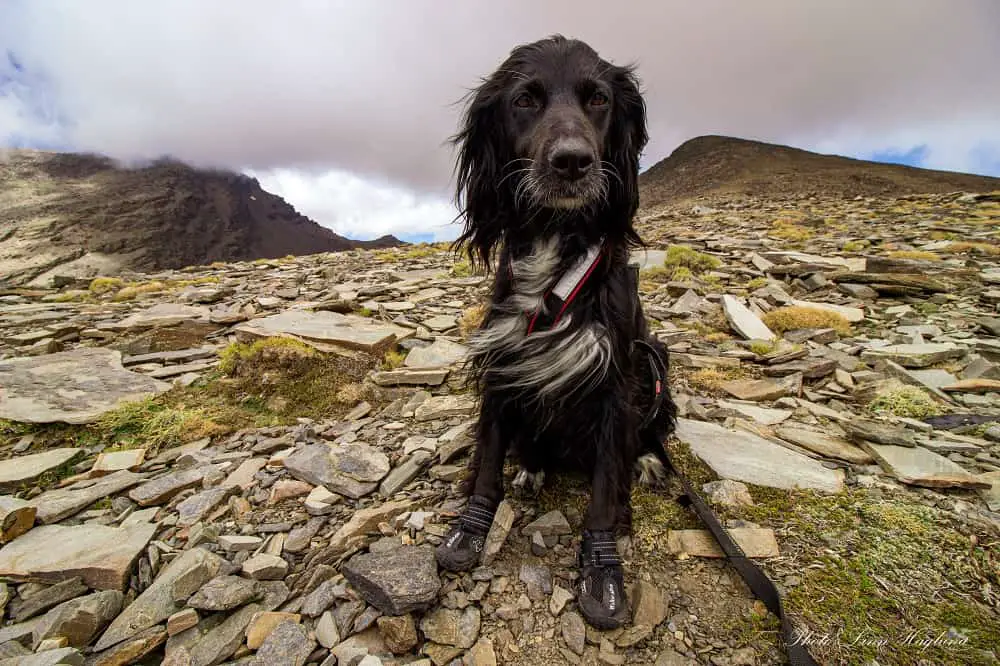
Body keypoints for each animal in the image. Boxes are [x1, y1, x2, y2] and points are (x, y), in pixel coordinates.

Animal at [438, 36, 680, 628]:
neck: (556, 245)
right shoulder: (504, 362)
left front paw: (602, 573)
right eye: (525, 99)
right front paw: (469, 532)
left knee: (650, 433)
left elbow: (604, 487)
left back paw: (647, 460)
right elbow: (488, 461)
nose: (572, 161)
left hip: (655, 360)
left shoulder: (615, 377)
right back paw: (532, 466)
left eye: (598, 99)